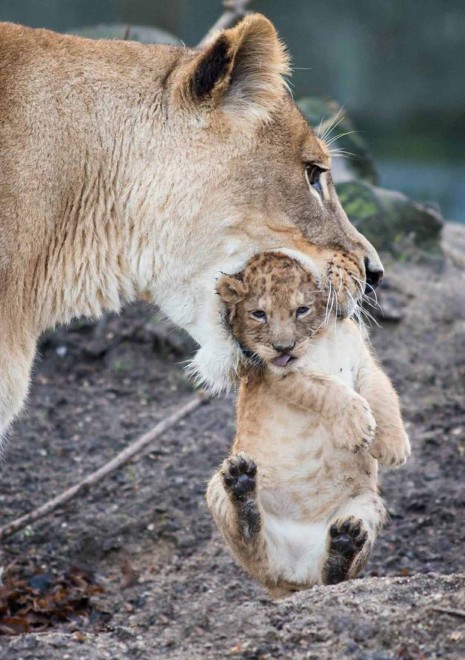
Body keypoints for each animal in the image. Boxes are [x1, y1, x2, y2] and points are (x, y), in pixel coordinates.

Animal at [206, 252, 410, 597]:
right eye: (259, 314)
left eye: (301, 309)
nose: (283, 347)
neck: (321, 338)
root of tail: (294, 578)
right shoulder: (280, 374)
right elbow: (327, 387)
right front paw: (357, 425)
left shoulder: (364, 362)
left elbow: (383, 394)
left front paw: (394, 446)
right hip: (217, 492)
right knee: (252, 541)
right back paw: (243, 487)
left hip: (369, 504)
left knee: (334, 577)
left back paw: (345, 543)